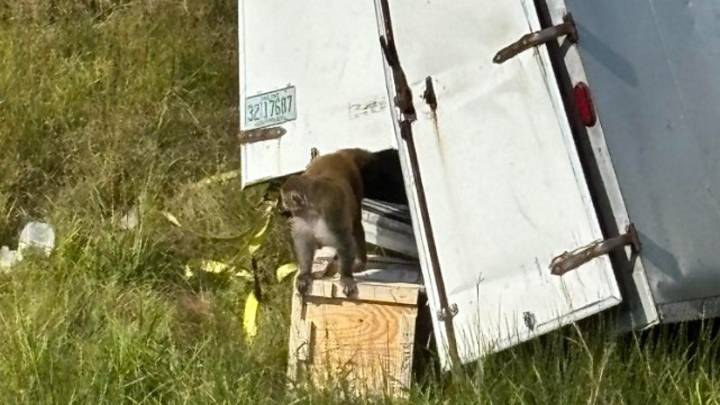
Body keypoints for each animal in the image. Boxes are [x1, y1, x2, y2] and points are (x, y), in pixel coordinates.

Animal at [280, 148, 374, 297]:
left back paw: (360, 262)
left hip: (355, 182)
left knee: (356, 224)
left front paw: (346, 276)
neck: (311, 208)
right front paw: (305, 274)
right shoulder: (302, 216)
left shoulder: (331, 210)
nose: (281, 207)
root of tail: (337, 154)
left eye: (285, 200)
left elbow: (344, 240)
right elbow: (304, 240)